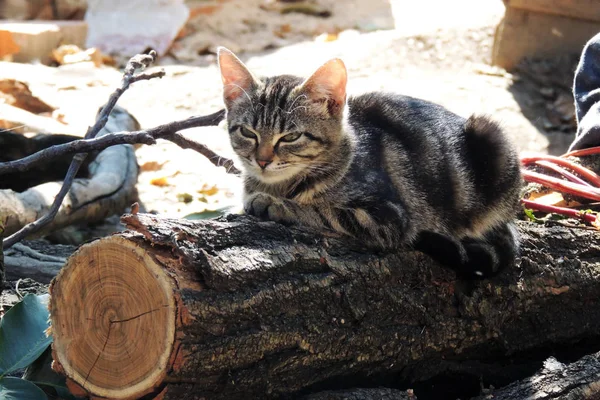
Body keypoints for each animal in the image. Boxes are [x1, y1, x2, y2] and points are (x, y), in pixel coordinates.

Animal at [218, 46, 524, 278]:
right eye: (248, 132)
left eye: (291, 136)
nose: (262, 160)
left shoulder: (389, 217)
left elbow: (323, 211)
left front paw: (275, 204)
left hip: (492, 139)